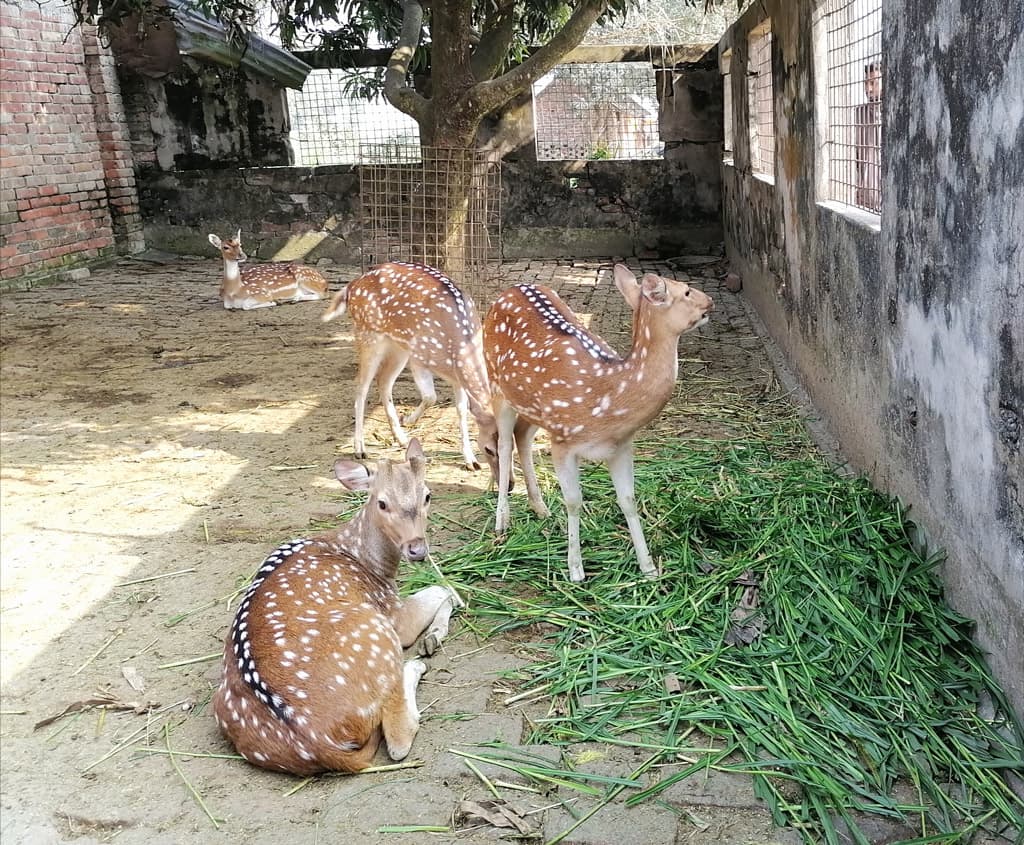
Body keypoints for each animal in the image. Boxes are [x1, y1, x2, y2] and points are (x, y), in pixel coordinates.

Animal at [211, 438, 460, 774]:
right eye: (382, 503)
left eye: (428, 495)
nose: (417, 549)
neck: (367, 561)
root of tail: (319, 743)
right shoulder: (393, 612)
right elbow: (444, 589)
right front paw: (433, 636)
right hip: (375, 631)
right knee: (397, 739)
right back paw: (415, 665)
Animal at [323, 260, 503, 477]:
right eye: (489, 449)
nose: (508, 482)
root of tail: (352, 285)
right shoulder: (418, 359)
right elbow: (431, 397)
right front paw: (407, 419)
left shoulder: (457, 377)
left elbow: (461, 409)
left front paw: (470, 460)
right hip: (368, 336)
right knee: (361, 387)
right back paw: (360, 448)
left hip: (398, 347)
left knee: (383, 380)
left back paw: (400, 438)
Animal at [485, 264, 712, 581]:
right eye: (687, 291)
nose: (710, 302)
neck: (608, 401)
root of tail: (509, 290)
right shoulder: (563, 442)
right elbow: (573, 502)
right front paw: (575, 570)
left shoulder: (621, 446)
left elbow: (628, 500)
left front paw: (649, 568)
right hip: (497, 386)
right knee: (504, 445)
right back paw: (502, 522)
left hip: (534, 408)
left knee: (523, 438)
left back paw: (540, 508)